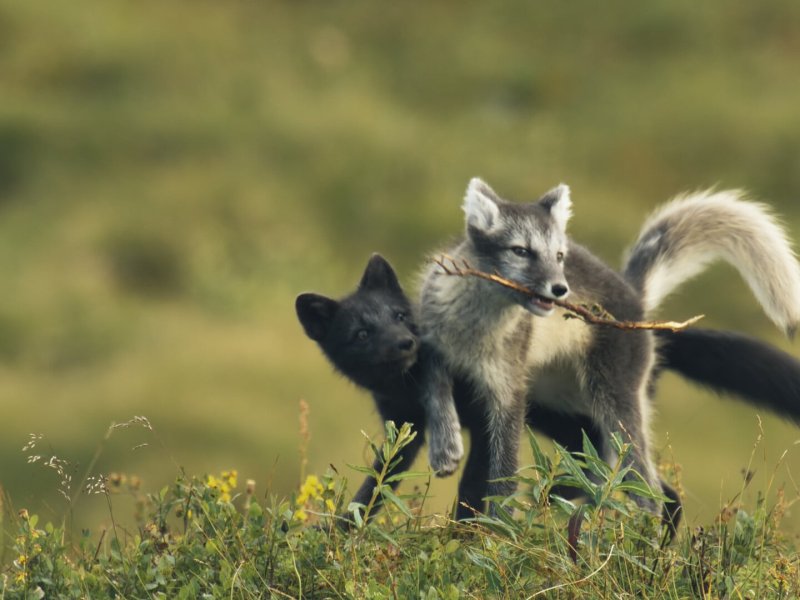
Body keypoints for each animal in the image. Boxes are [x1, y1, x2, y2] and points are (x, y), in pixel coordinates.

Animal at [297, 253, 800, 526]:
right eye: (361, 333)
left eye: (401, 316)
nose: (407, 342)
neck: (406, 386)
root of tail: (653, 333)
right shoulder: (404, 426)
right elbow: (375, 488)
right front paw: (339, 533)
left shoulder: (487, 415)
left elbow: (475, 488)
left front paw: (465, 540)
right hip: (567, 423)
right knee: (657, 489)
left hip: (587, 414)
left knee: (645, 486)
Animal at [418, 179, 800, 521]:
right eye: (520, 251)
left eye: (559, 256)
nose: (561, 289)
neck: (472, 330)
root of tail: (635, 297)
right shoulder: (429, 338)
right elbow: (435, 385)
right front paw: (445, 448)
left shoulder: (508, 387)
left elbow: (505, 471)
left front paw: (498, 530)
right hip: (569, 409)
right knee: (608, 476)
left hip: (614, 402)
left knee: (647, 490)